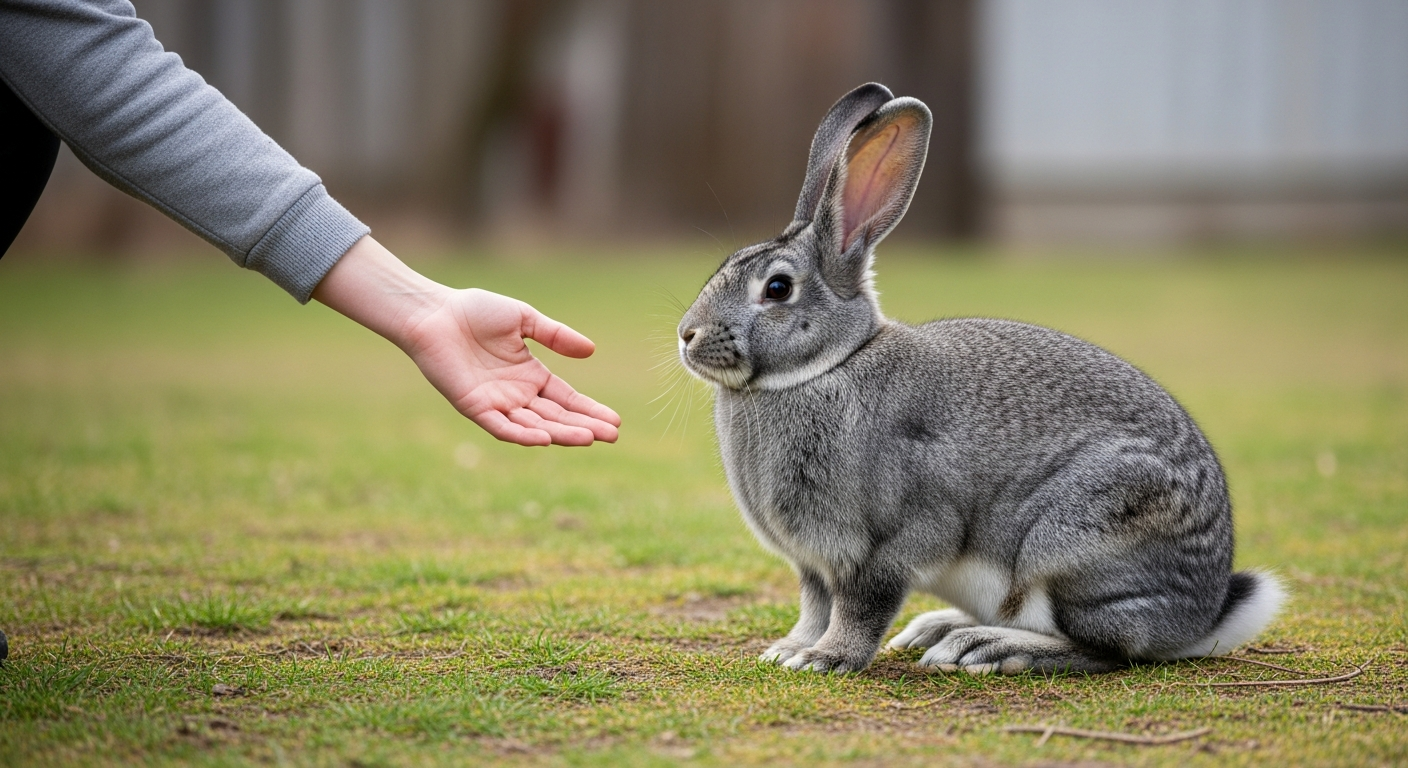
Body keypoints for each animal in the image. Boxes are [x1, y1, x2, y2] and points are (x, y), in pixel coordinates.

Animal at [676, 83, 1284, 675]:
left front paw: (824, 657)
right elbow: (815, 604)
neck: (830, 364)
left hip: (1074, 544)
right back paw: (939, 629)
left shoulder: (894, 537)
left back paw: (985, 648)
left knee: (1109, 647)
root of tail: (1202, 614)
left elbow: (861, 606)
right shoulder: (815, 565)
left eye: (777, 289)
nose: (686, 334)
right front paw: (790, 648)